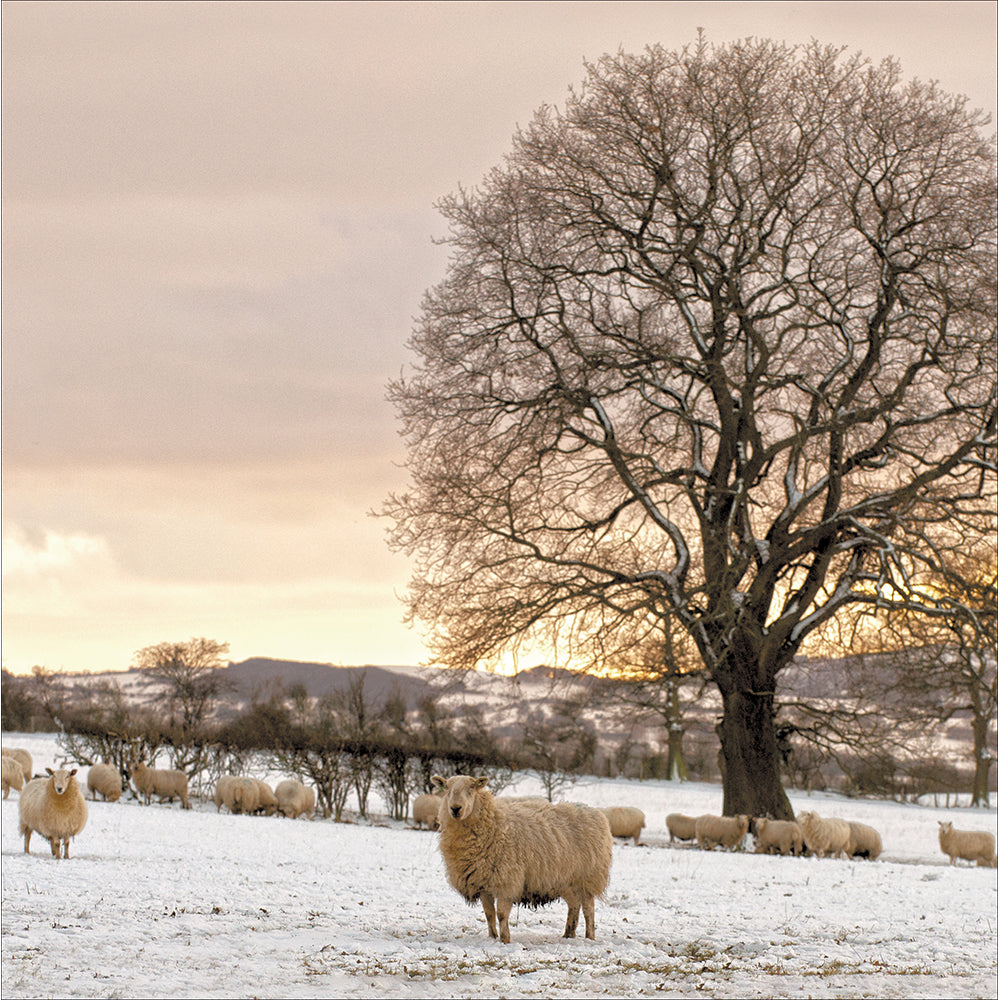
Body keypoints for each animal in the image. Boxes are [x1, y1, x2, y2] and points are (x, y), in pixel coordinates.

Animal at [432, 773, 613, 943]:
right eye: (446, 789)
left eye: (471, 789)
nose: (456, 809)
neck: (492, 824)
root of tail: (595, 812)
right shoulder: (483, 883)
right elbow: (489, 914)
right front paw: (492, 937)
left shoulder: (506, 881)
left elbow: (501, 914)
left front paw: (505, 940)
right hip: (566, 880)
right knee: (574, 905)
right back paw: (568, 934)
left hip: (588, 877)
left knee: (588, 909)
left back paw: (589, 936)